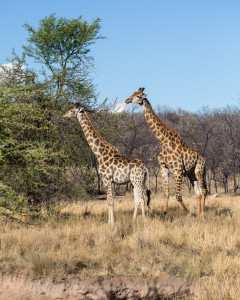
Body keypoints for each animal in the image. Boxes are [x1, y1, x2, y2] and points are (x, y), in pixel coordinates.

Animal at [124, 86, 207, 216]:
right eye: (133, 93)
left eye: (138, 96)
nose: (127, 100)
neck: (164, 142)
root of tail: (202, 156)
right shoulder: (164, 168)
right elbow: (166, 194)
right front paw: (164, 215)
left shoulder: (177, 170)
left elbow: (178, 196)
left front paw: (188, 214)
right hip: (191, 173)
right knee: (198, 192)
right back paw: (199, 214)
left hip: (200, 170)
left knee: (203, 190)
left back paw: (202, 214)